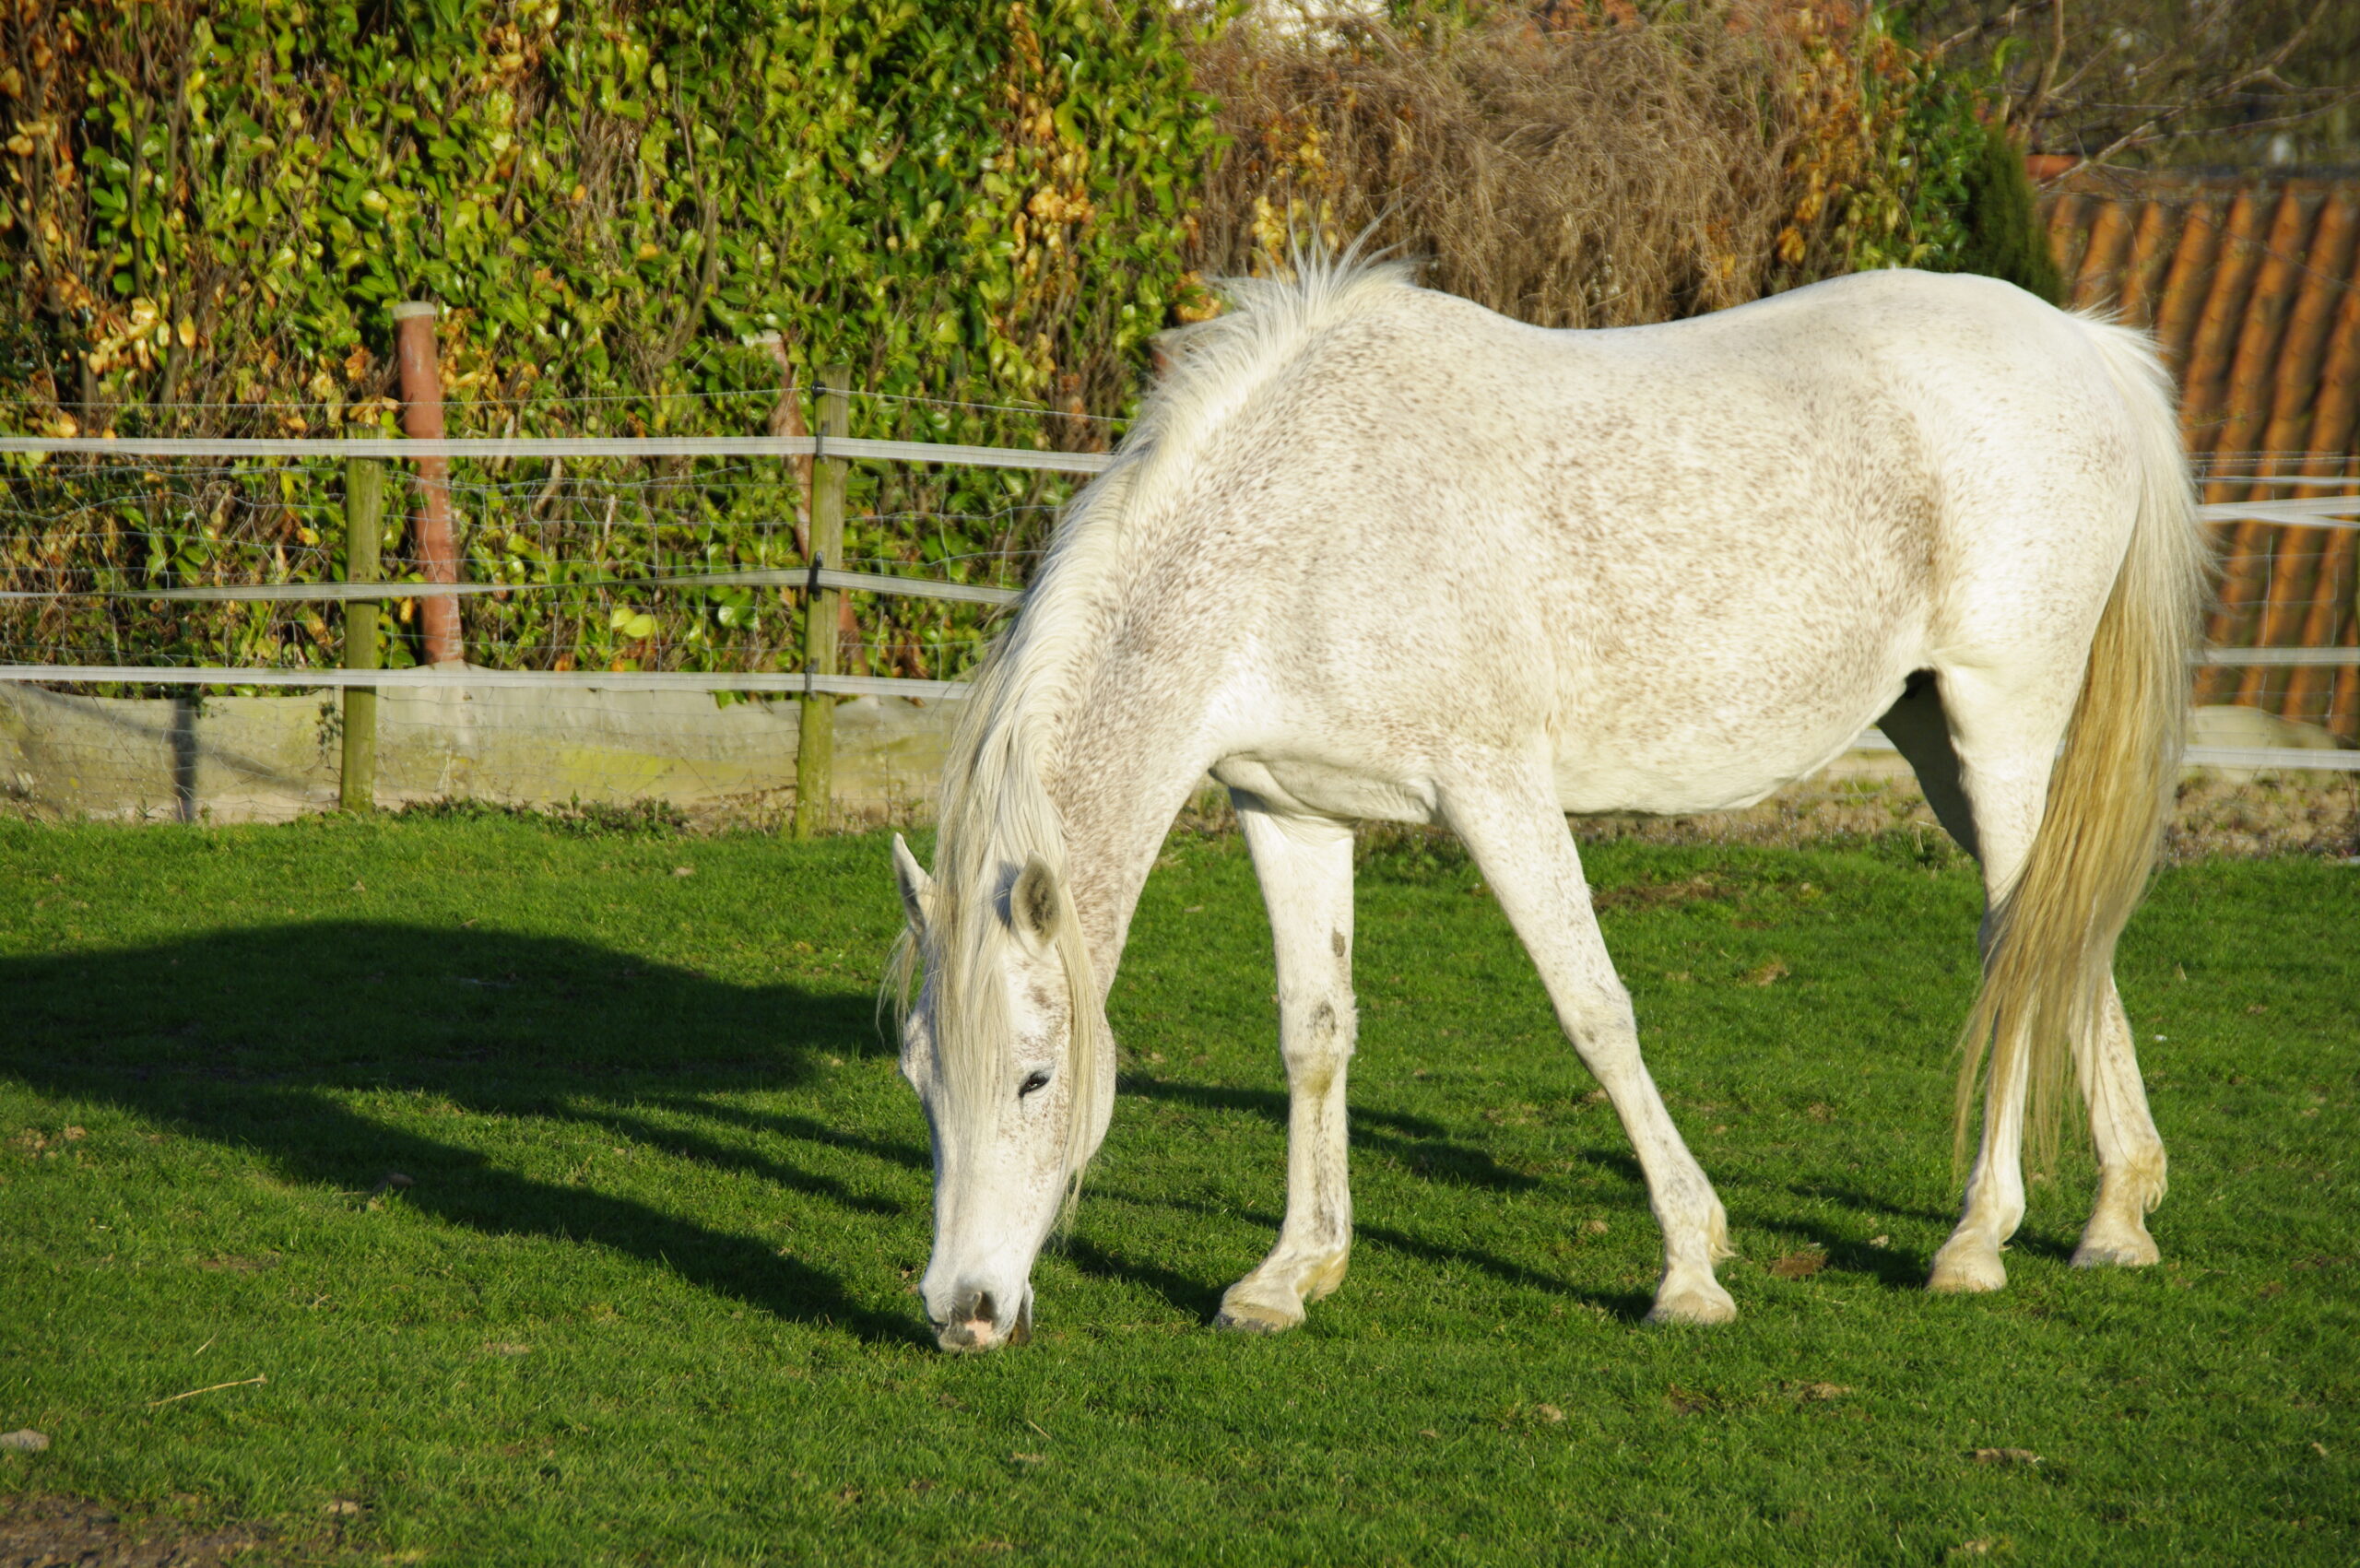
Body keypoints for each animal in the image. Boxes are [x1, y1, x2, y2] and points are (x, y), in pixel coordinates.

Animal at [886, 254, 2205, 1352]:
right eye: (915, 1076)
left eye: (1035, 1079)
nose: (961, 1311)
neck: (1298, 527)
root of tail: (2078, 341)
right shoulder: (1291, 811)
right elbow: (1313, 1037)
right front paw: (1289, 1275)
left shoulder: (1495, 789)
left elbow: (1593, 1013)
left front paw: (1690, 1270)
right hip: (1936, 736)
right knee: (2061, 941)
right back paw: (2116, 1216)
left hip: (2001, 727)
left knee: (2021, 951)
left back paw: (1978, 1241)